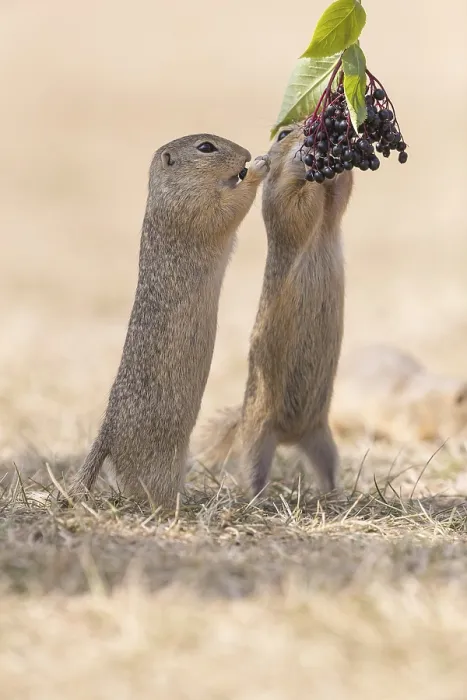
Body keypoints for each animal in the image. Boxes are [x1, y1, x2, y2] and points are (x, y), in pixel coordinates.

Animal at [66, 134, 270, 506]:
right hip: (160, 461)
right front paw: (259, 167)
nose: (247, 154)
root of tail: (106, 435)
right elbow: (230, 206)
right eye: (206, 148)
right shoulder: (195, 209)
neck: (168, 191)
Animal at [195, 124, 353, 496]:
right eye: (283, 134)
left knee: (326, 467)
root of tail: (289, 436)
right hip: (258, 437)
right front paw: (306, 165)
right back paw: (256, 497)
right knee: (253, 470)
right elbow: (297, 206)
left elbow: (340, 196)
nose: (309, 130)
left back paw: (334, 493)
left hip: (322, 437)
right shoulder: (280, 202)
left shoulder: (332, 212)